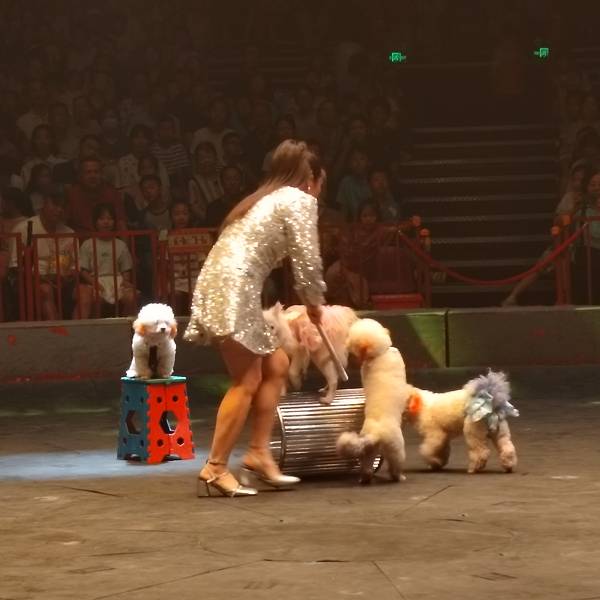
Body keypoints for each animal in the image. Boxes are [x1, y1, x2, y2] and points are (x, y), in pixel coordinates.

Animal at [336, 318, 412, 483]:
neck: (377, 355)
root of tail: (375, 434)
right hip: (397, 449)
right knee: (395, 468)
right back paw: (400, 477)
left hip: (369, 452)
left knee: (367, 469)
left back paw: (365, 479)